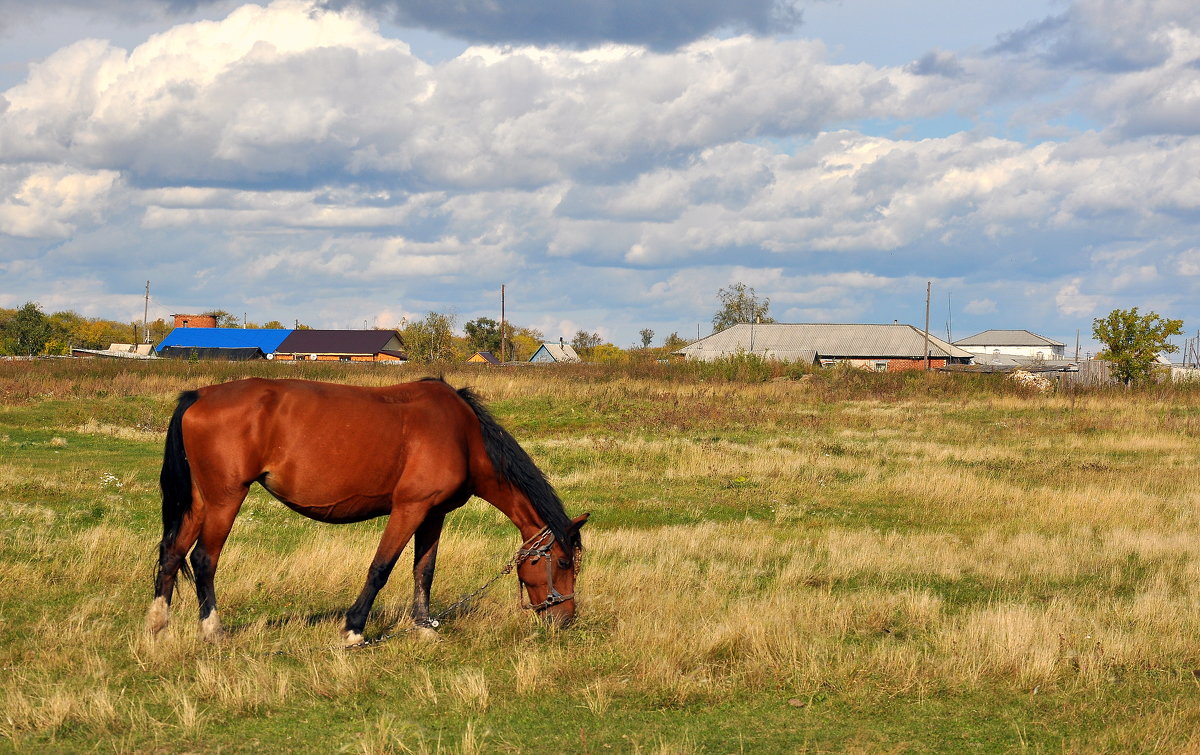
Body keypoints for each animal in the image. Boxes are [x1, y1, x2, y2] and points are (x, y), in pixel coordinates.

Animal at [145, 376, 590, 643]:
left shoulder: (434, 514)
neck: (463, 435)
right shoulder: (409, 509)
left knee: (172, 553)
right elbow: (381, 568)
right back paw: (212, 630)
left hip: (200, 501)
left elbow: (424, 571)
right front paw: (354, 629)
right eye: (563, 563)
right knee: (204, 559)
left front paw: (424, 627)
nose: (566, 619)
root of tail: (199, 395)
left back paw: (158, 625)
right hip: (225, 498)